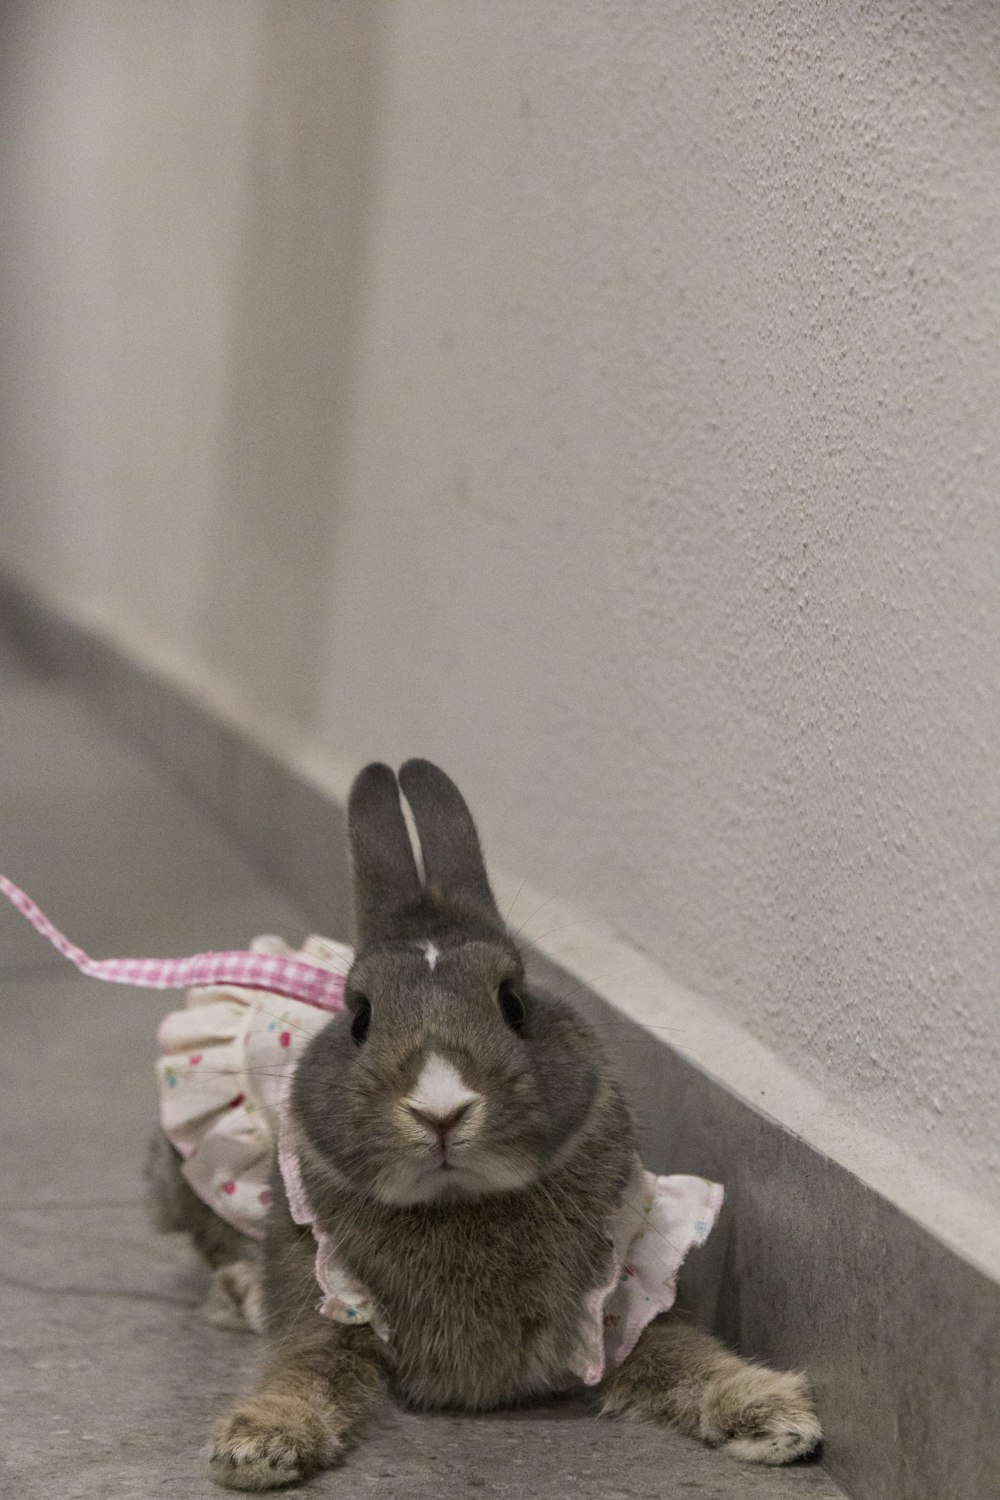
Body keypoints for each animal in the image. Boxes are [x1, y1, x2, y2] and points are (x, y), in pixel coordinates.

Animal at [150, 762, 821, 1488]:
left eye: (514, 1003)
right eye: (360, 1017)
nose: (441, 1111)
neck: (459, 1202)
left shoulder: (624, 1297)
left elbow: (682, 1351)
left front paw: (775, 1414)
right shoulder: (324, 1301)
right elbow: (304, 1367)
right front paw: (256, 1444)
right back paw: (238, 1291)